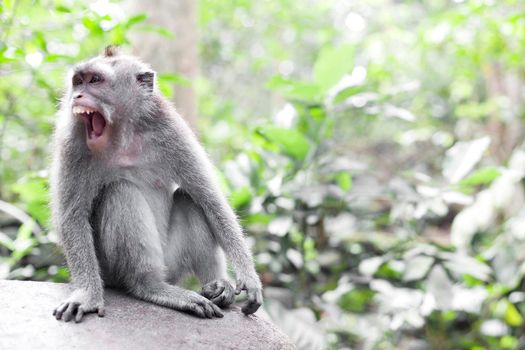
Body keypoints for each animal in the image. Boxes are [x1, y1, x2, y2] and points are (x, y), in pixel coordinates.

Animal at [50, 47, 262, 322]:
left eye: (94, 80)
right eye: (78, 81)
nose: (77, 95)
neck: (123, 132)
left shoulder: (171, 130)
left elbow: (210, 200)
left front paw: (249, 278)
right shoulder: (72, 141)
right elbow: (72, 218)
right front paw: (87, 295)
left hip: (171, 263)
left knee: (189, 198)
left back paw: (217, 286)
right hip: (111, 270)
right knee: (120, 191)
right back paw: (151, 286)